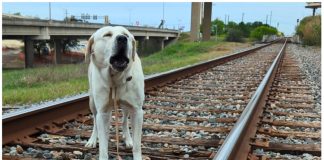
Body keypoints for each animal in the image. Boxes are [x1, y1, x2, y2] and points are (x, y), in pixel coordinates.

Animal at [85, 25, 144, 159]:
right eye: (107, 35)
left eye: (126, 35)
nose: (122, 39)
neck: (115, 79)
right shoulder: (102, 112)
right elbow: (103, 147)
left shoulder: (137, 111)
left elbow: (137, 145)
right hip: (92, 102)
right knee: (95, 121)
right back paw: (92, 140)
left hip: (126, 106)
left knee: (124, 120)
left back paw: (128, 139)